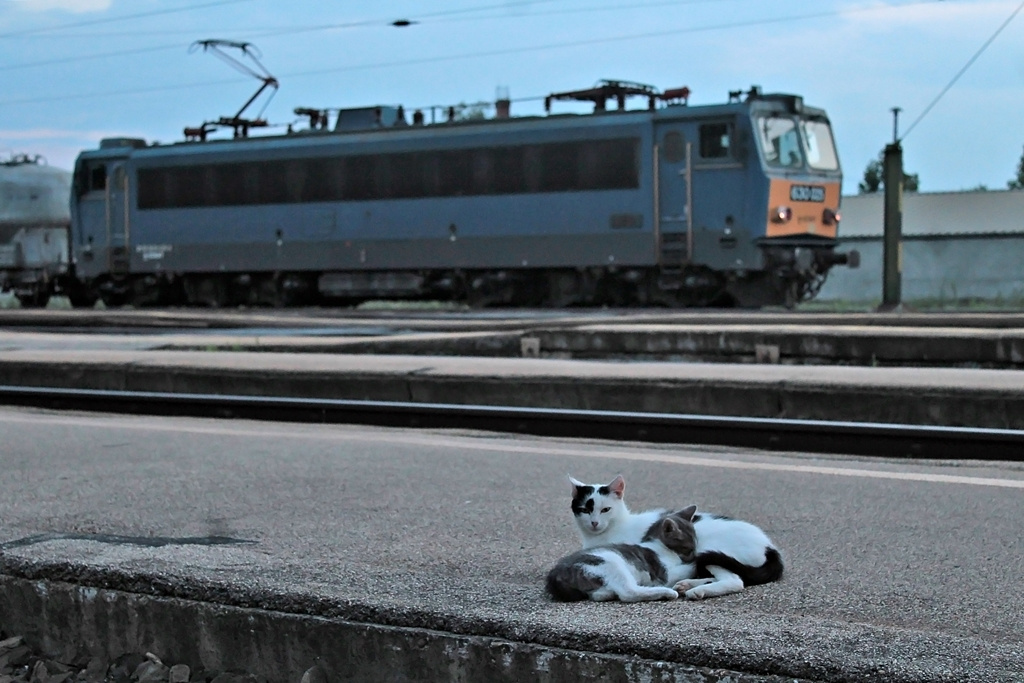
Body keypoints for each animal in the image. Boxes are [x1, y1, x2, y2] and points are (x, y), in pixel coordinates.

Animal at [548, 505, 700, 602]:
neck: (659, 545)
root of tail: (556, 574)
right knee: (628, 593)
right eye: (687, 548)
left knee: (600, 595)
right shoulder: (664, 574)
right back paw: (666, 593)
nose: (694, 555)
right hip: (610, 563)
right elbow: (687, 568)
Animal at [569, 473, 782, 602]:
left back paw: (697, 590)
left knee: (735, 580)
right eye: (585, 510)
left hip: (712, 551)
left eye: (606, 509)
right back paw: (688, 584)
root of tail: (770, 547)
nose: (594, 522)